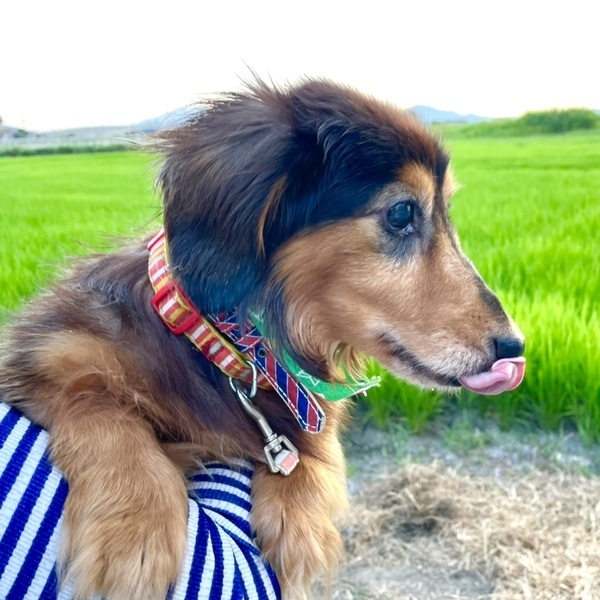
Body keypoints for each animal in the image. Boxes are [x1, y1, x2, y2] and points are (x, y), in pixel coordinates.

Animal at [0, 77, 525, 599]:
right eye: (400, 213)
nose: (515, 347)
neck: (227, 348)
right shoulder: (43, 355)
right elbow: (96, 398)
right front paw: (134, 526)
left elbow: (315, 446)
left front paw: (301, 521)